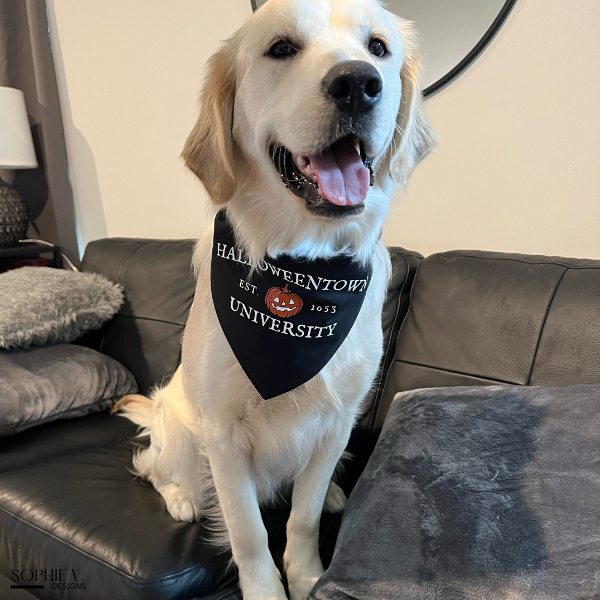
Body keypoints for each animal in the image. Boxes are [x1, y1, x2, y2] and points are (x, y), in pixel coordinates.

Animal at [117, 2, 436, 596]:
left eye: (378, 47)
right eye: (281, 48)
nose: (359, 84)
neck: (303, 268)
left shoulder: (337, 419)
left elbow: (302, 518)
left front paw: (307, 575)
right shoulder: (221, 433)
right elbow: (248, 532)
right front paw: (266, 587)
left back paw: (332, 491)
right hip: (180, 430)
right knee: (153, 467)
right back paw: (181, 497)